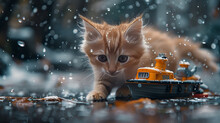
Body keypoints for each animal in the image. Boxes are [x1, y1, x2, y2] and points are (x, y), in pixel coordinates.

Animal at [79, 14, 218, 101]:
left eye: (123, 58)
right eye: (102, 58)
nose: (112, 70)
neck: (118, 75)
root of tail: (172, 42)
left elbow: (128, 82)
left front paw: (123, 90)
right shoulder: (102, 74)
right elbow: (100, 85)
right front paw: (96, 93)